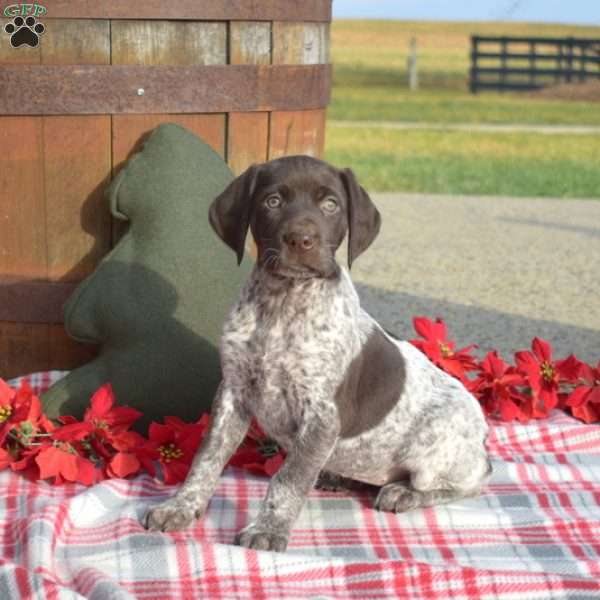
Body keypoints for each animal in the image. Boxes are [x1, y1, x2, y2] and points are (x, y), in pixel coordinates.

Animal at [143, 156, 490, 552]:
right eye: (273, 201)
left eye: (331, 205)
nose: (300, 239)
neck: (282, 303)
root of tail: (483, 439)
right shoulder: (233, 394)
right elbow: (206, 459)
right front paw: (181, 507)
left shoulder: (322, 414)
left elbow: (288, 479)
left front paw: (269, 529)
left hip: (435, 446)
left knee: (468, 484)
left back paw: (403, 493)